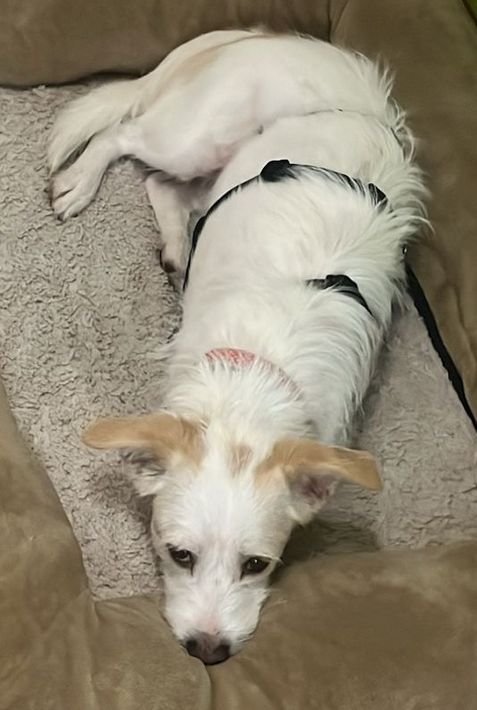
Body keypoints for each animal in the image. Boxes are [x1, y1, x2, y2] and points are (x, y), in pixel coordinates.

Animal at [48, 29, 426, 664]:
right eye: (179, 555)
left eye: (257, 565)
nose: (208, 651)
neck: (255, 381)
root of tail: (266, 36)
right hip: (194, 138)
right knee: (124, 138)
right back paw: (80, 184)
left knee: (160, 183)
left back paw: (177, 246)